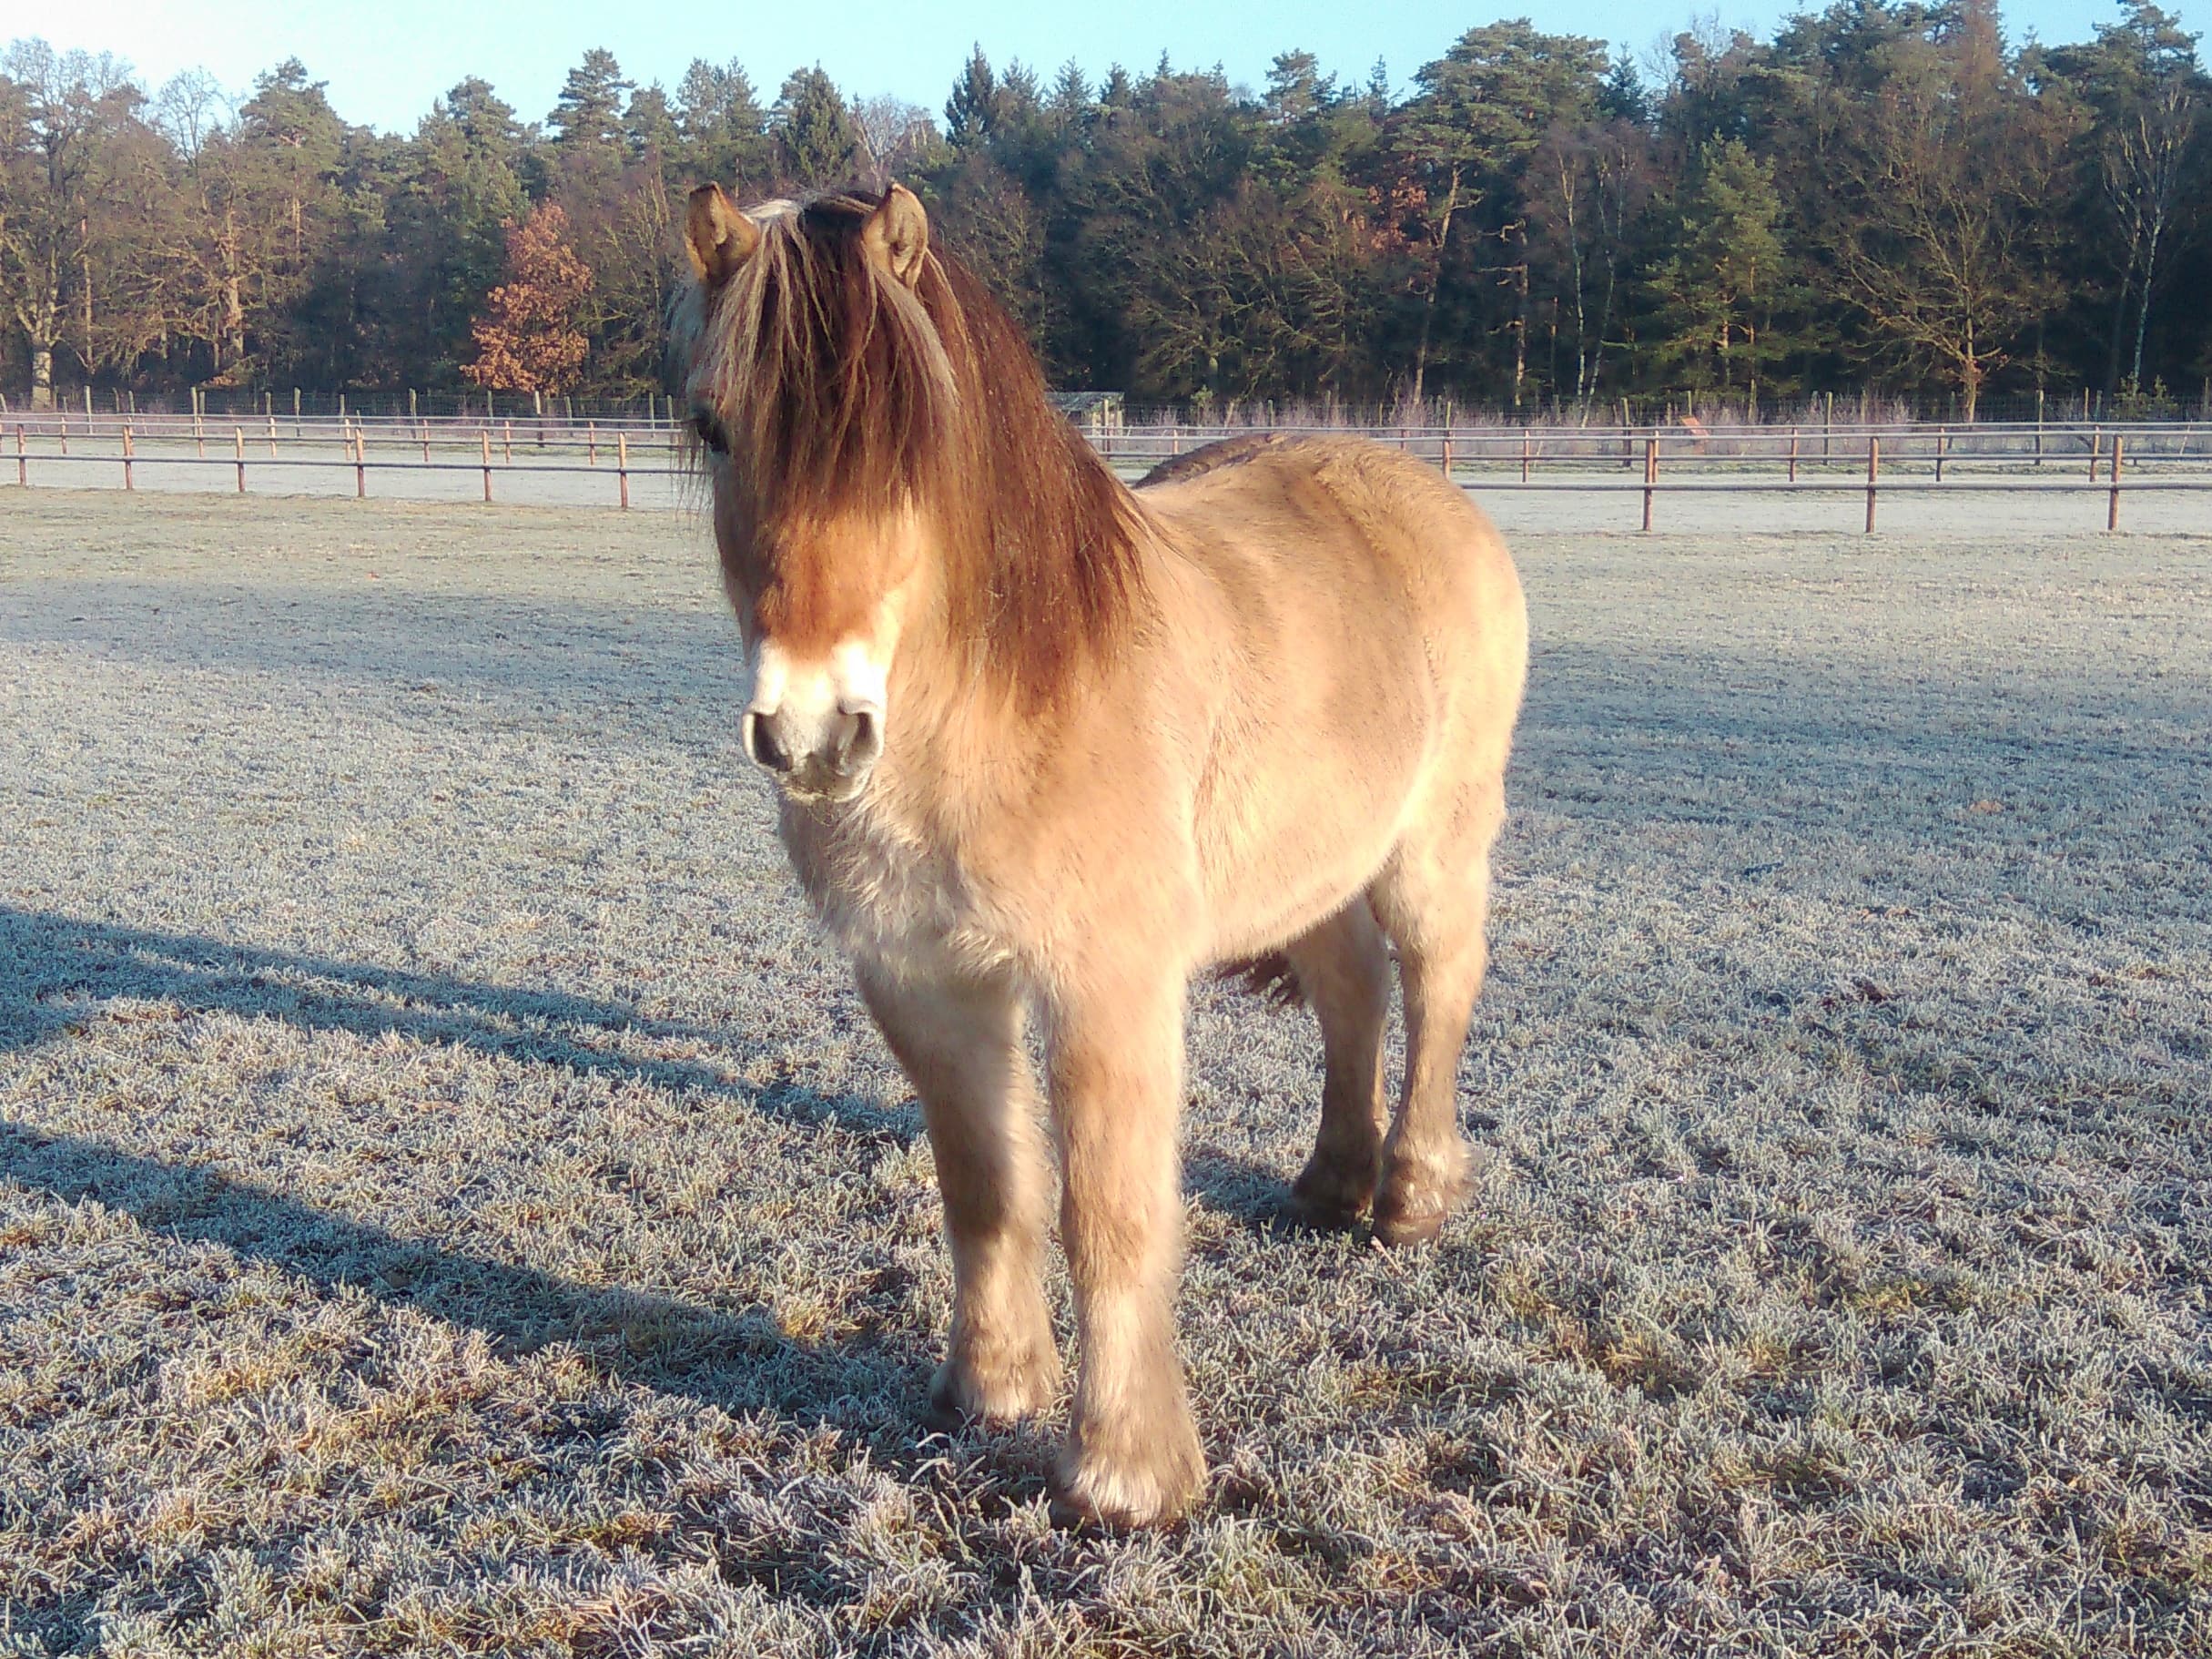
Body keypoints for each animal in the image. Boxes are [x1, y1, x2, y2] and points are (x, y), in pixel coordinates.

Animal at [672, 181, 1530, 1531]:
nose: (812, 732)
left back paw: (1407, 1199)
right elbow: (986, 1182)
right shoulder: (924, 979)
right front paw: (991, 1388)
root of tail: (1418, 490)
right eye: (714, 426)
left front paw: (1126, 1473)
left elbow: (1110, 1211)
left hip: (1432, 845)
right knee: (1352, 988)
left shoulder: (1110, 982)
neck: (994, 706)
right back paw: (1329, 1183)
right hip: (1310, 861)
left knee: (1440, 985)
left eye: (910, 444)